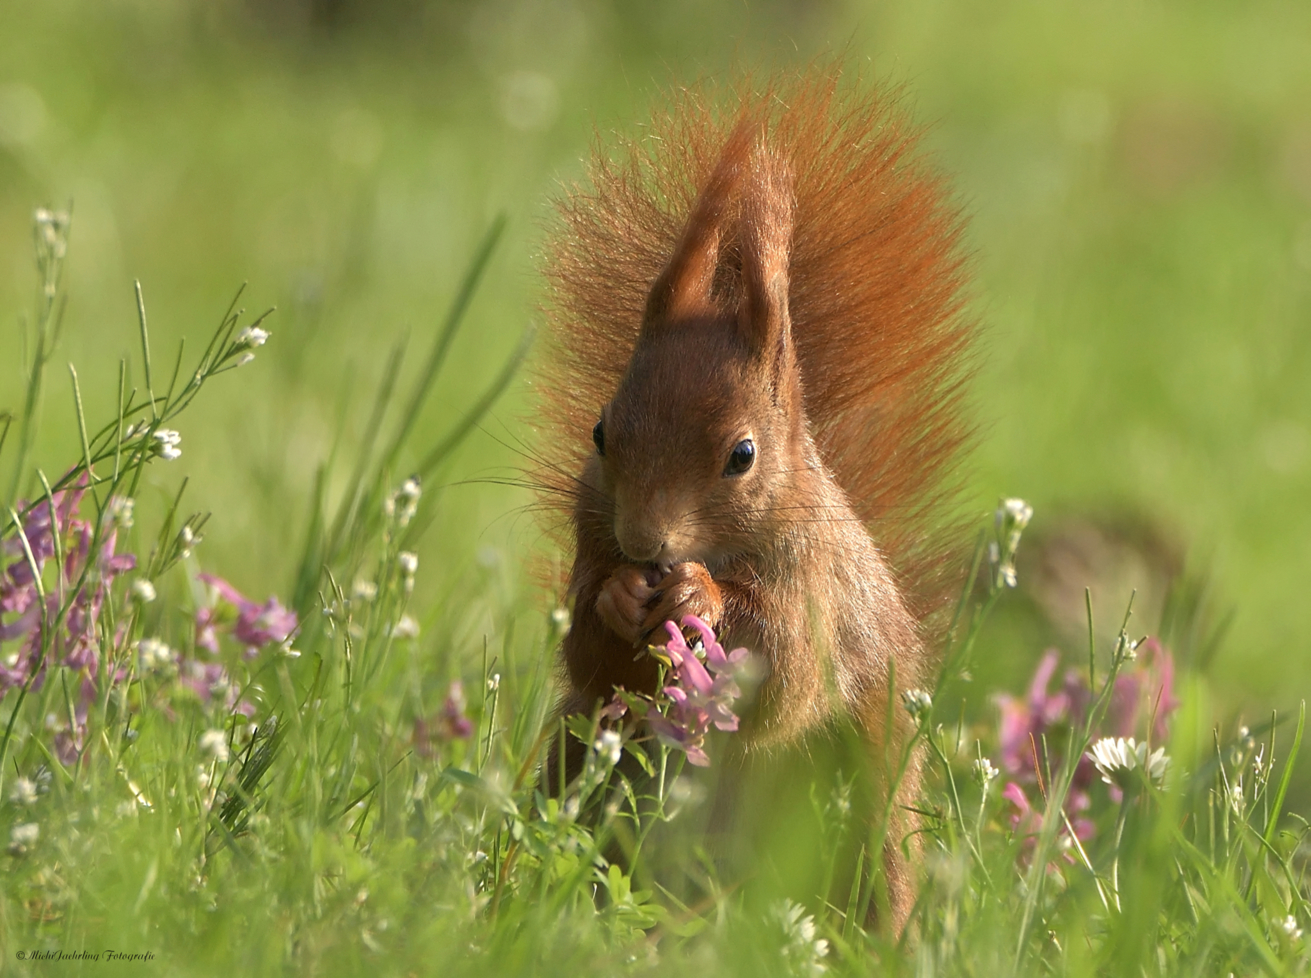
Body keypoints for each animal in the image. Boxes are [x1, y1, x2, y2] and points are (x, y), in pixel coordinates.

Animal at [529, 70, 975, 928]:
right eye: (601, 431)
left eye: (742, 455)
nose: (645, 544)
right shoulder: (590, 540)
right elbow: (592, 657)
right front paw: (617, 597)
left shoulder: (814, 583)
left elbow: (789, 672)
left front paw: (698, 595)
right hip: (582, 754)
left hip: (869, 808)